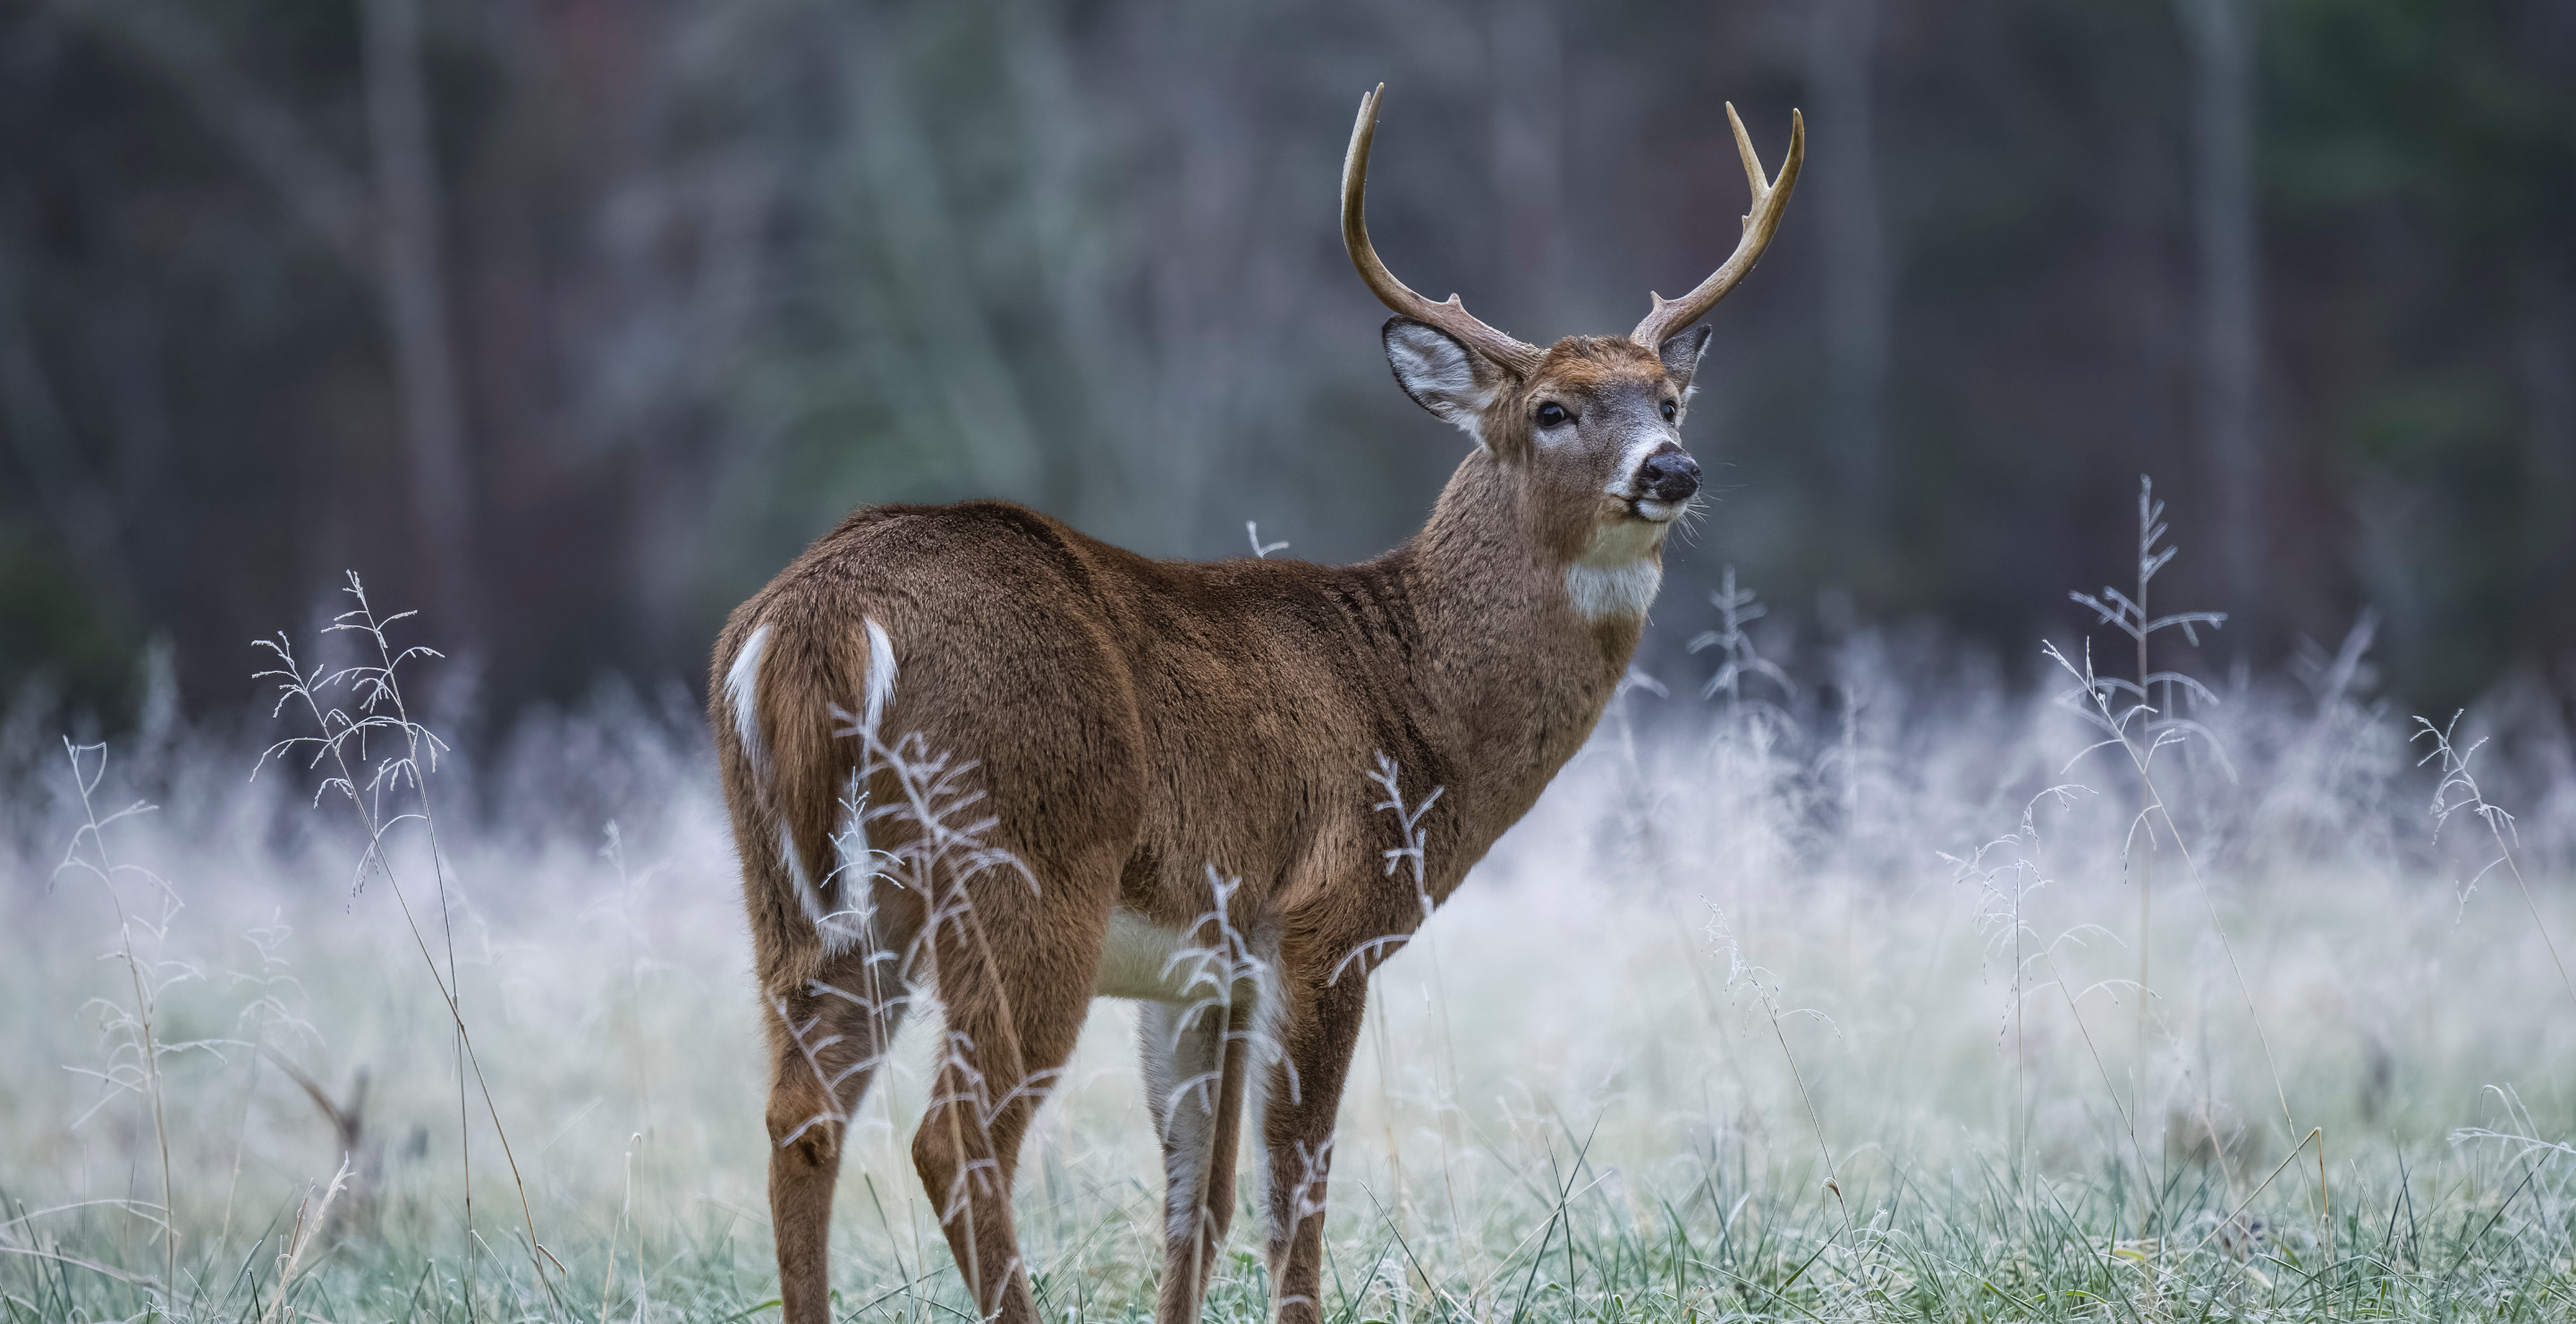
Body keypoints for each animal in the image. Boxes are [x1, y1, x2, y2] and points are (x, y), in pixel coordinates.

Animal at [695, 85, 1803, 1319]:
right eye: (1555, 409)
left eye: (1668, 398)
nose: (1671, 467)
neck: (1413, 697)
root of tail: (819, 619)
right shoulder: (1326, 916)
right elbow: (1295, 1185)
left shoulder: (1202, 970)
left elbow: (1199, 1198)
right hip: (1024, 861)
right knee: (955, 1136)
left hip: (805, 896)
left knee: (801, 1116)